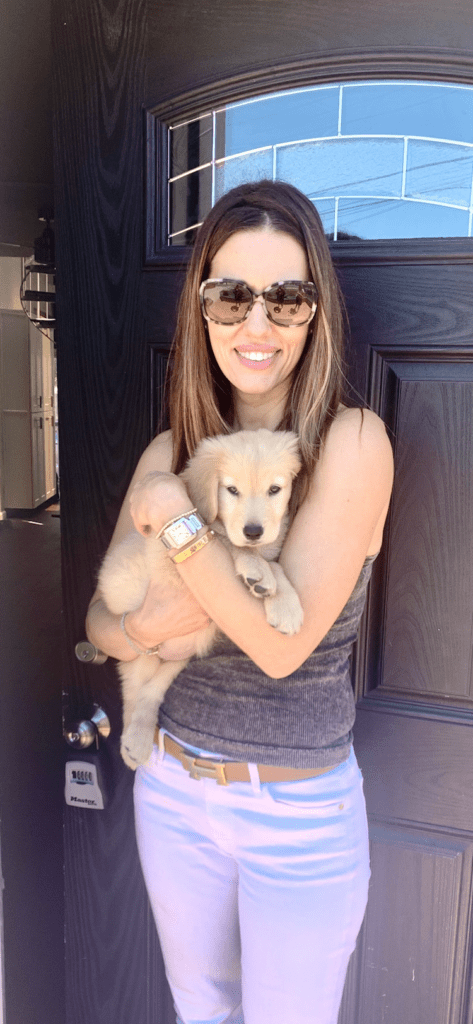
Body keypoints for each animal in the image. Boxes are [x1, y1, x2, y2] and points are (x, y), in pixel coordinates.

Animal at [98, 425, 303, 770]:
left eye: (275, 489)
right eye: (231, 490)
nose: (253, 531)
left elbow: (274, 562)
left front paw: (285, 604)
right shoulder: (171, 559)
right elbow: (225, 541)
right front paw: (257, 570)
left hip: (185, 650)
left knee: (151, 690)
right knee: (134, 687)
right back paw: (134, 741)